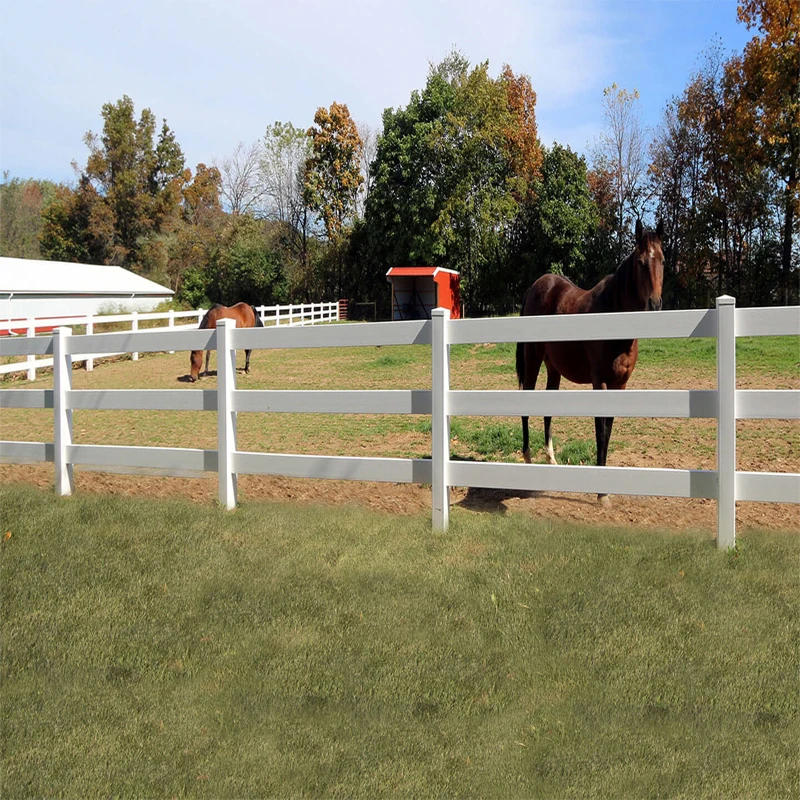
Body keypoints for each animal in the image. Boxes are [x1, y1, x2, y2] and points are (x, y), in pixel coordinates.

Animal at [515, 219, 664, 503]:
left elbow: (608, 430)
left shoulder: (620, 385)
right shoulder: (600, 382)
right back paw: (528, 459)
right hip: (533, 358)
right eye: (641, 262)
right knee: (526, 401)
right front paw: (601, 493)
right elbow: (600, 432)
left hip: (554, 368)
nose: (654, 305)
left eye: (662, 260)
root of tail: (536, 286)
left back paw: (551, 459)